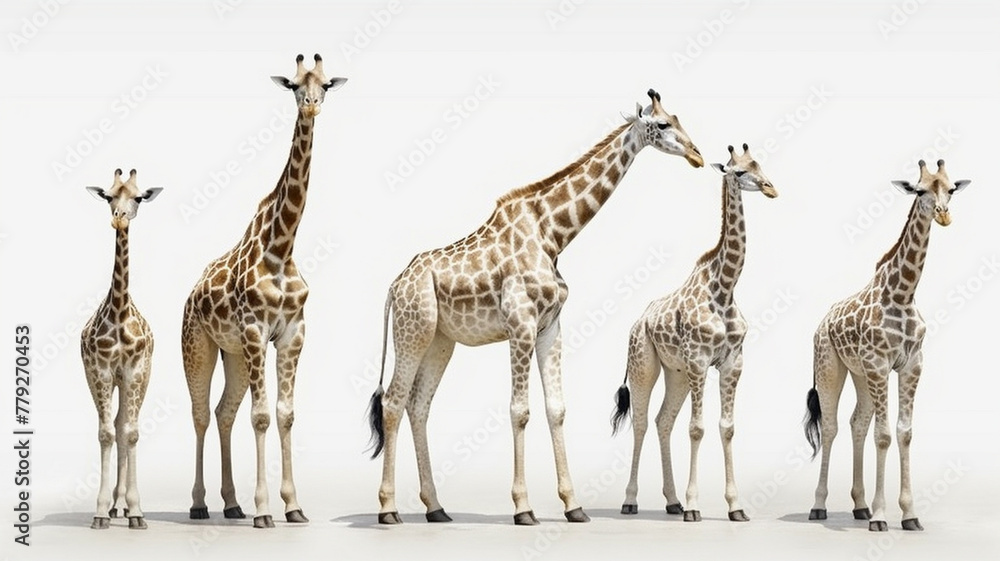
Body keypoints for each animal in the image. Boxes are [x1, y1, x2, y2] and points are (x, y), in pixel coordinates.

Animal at [181, 54, 346, 529]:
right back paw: (200, 505)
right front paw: (264, 511)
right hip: (198, 346)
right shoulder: (256, 332)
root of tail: (190, 294)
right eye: (293, 85)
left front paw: (292, 506)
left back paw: (231, 503)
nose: (311, 105)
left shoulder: (291, 333)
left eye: (325, 84)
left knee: (223, 413)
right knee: (201, 414)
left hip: (233, 353)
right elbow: (259, 417)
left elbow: (285, 415)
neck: (281, 246)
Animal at [366, 89, 704, 525]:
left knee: (418, 405)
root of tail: (395, 285)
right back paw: (388, 509)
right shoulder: (521, 324)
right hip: (413, 329)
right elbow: (519, 411)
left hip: (441, 340)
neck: (553, 235)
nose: (698, 155)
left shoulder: (550, 327)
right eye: (662, 124)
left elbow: (556, 409)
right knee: (392, 402)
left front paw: (574, 506)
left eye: (678, 119)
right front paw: (523, 508)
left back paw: (436, 508)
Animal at [610, 144, 776, 522]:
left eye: (759, 165)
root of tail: (637, 321)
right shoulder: (700, 360)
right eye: (739, 172)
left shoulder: (732, 362)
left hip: (677, 373)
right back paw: (630, 500)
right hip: (644, 365)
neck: (725, 288)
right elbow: (697, 428)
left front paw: (735, 507)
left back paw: (672, 501)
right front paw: (695, 506)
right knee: (642, 422)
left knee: (663, 421)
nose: (771, 188)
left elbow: (727, 427)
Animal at [803, 159, 970, 532]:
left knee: (857, 423)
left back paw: (860, 506)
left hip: (861, 374)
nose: (944, 215)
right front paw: (881, 517)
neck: (903, 293)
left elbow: (903, 432)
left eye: (951, 189)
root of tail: (821, 323)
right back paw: (819, 506)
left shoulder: (911, 364)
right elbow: (883, 435)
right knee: (832, 426)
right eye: (919, 190)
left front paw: (909, 515)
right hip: (830, 367)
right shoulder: (880, 364)